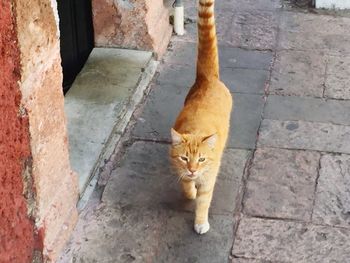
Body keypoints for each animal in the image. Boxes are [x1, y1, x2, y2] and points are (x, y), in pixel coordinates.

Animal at [171, 0, 234, 235]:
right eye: (184, 158)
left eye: (202, 159)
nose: (192, 170)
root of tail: (207, 78)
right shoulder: (179, 169)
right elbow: (186, 186)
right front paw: (190, 192)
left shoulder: (209, 178)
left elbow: (204, 201)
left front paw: (200, 222)